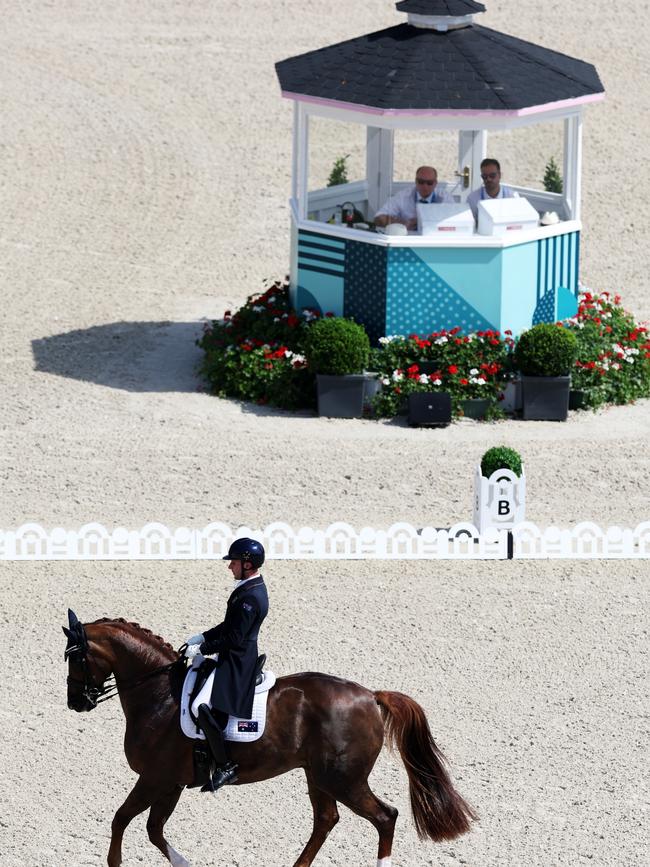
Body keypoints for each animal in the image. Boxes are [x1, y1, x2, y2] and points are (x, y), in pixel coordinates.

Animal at [63, 612, 474, 864]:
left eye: (74, 658)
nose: (75, 703)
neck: (160, 694)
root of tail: (370, 696)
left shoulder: (154, 778)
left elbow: (122, 820)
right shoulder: (171, 782)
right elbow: (153, 829)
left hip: (343, 779)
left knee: (384, 817)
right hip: (319, 777)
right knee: (326, 819)